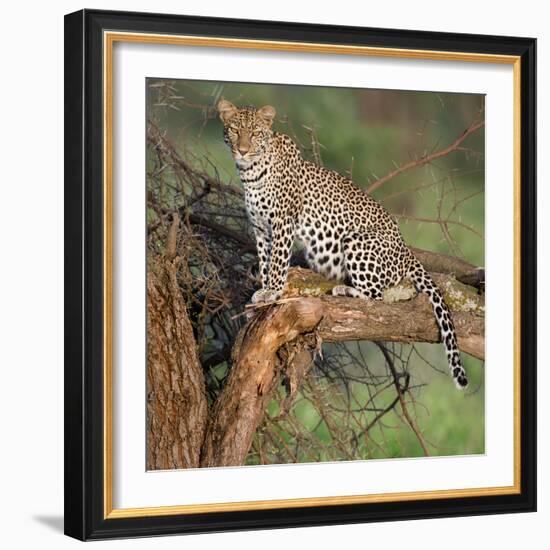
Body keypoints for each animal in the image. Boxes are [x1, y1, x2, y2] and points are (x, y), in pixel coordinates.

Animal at [217, 100, 470, 392]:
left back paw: (345, 289)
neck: (251, 173)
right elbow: (264, 260)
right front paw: (263, 289)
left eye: (256, 133)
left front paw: (273, 292)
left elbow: (278, 263)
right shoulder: (260, 228)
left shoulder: (282, 223)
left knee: (377, 296)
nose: (243, 150)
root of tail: (407, 252)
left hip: (355, 240)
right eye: (235, 130)